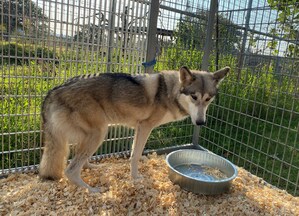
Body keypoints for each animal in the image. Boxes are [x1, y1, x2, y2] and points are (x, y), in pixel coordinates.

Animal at [39, 66, 231, 192]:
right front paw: (136, 178)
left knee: (80, 160)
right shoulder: (145, 127)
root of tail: (52, 92)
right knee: (70, 170)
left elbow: (134, 154)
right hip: (99, 133)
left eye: (208, 99)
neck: (169, 92)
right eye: (194, 97)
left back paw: (93, 167)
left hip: (92, 135)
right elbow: (136, 155)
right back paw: (92, 190)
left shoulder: (140, 128)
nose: (200, 122)